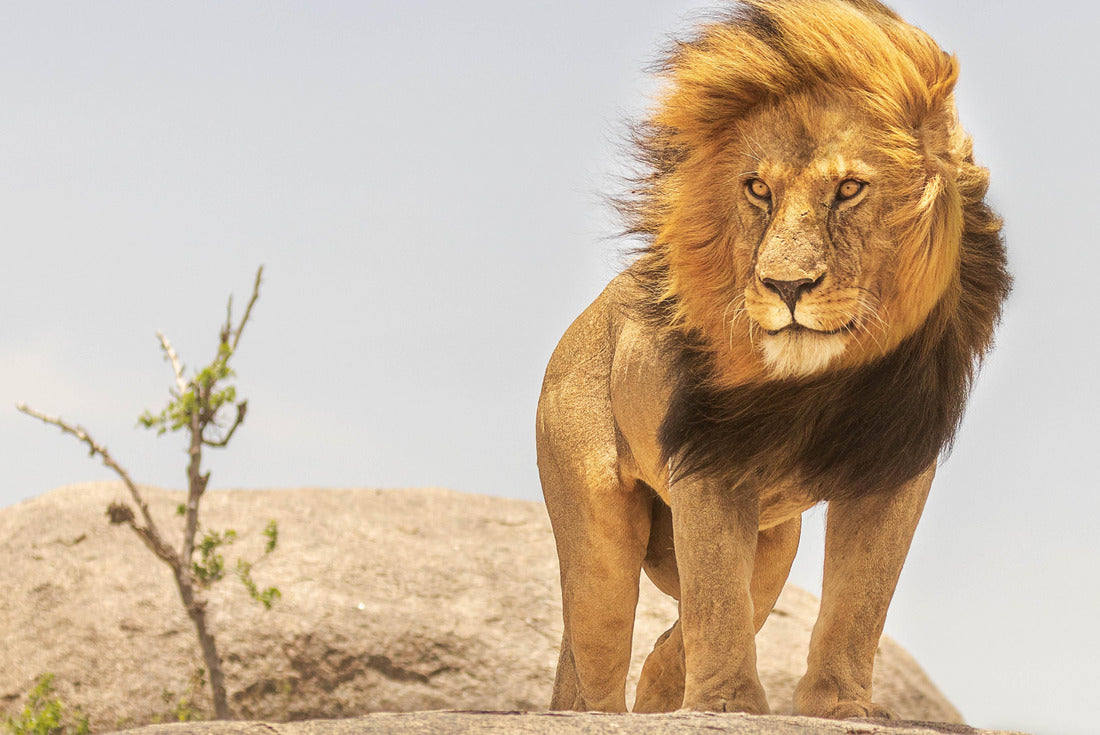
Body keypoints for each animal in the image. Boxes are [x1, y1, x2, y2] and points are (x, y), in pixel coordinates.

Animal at [536, 0, 1010, 720]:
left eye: (850, 188)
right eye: (757, 189)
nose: (786, 286)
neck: (824, 380)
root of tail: (583, 322)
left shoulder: (896, 464)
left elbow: (860, 598)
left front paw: (839, 706)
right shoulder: (709, 457)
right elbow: (717, 596)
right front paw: (728, 706)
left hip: (775, 540)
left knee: (682, 638)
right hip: (598, 531)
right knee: (598, 650)